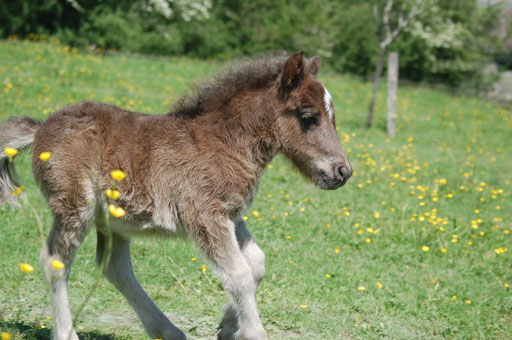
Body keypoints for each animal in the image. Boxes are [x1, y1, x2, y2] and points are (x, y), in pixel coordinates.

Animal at [0, 51, 352, 338]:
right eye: (308, 117)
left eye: (333, 115)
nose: (342, 172)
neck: (224, 143)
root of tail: (41, 127)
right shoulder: (205, 215)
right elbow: (238, 274)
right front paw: (251, 332)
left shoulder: (231, 215)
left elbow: (256, 264)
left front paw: (228, 325)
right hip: (75, 207)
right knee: (54, 261)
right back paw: (68, 333)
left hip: (113, 220)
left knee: (114, 266)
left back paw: (168, 331)